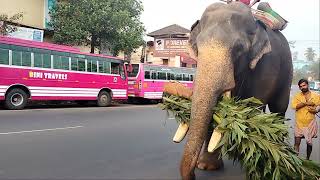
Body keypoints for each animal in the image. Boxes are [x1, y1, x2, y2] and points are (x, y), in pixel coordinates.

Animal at [180, 1, 292, 180]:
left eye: (238, 48)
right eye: (197, 46)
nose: (193, 174)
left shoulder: (266, 66)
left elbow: (252, 107)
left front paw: (254, 167)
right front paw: (207, 166)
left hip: (287, 72)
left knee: (279, 108)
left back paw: (279, 157)